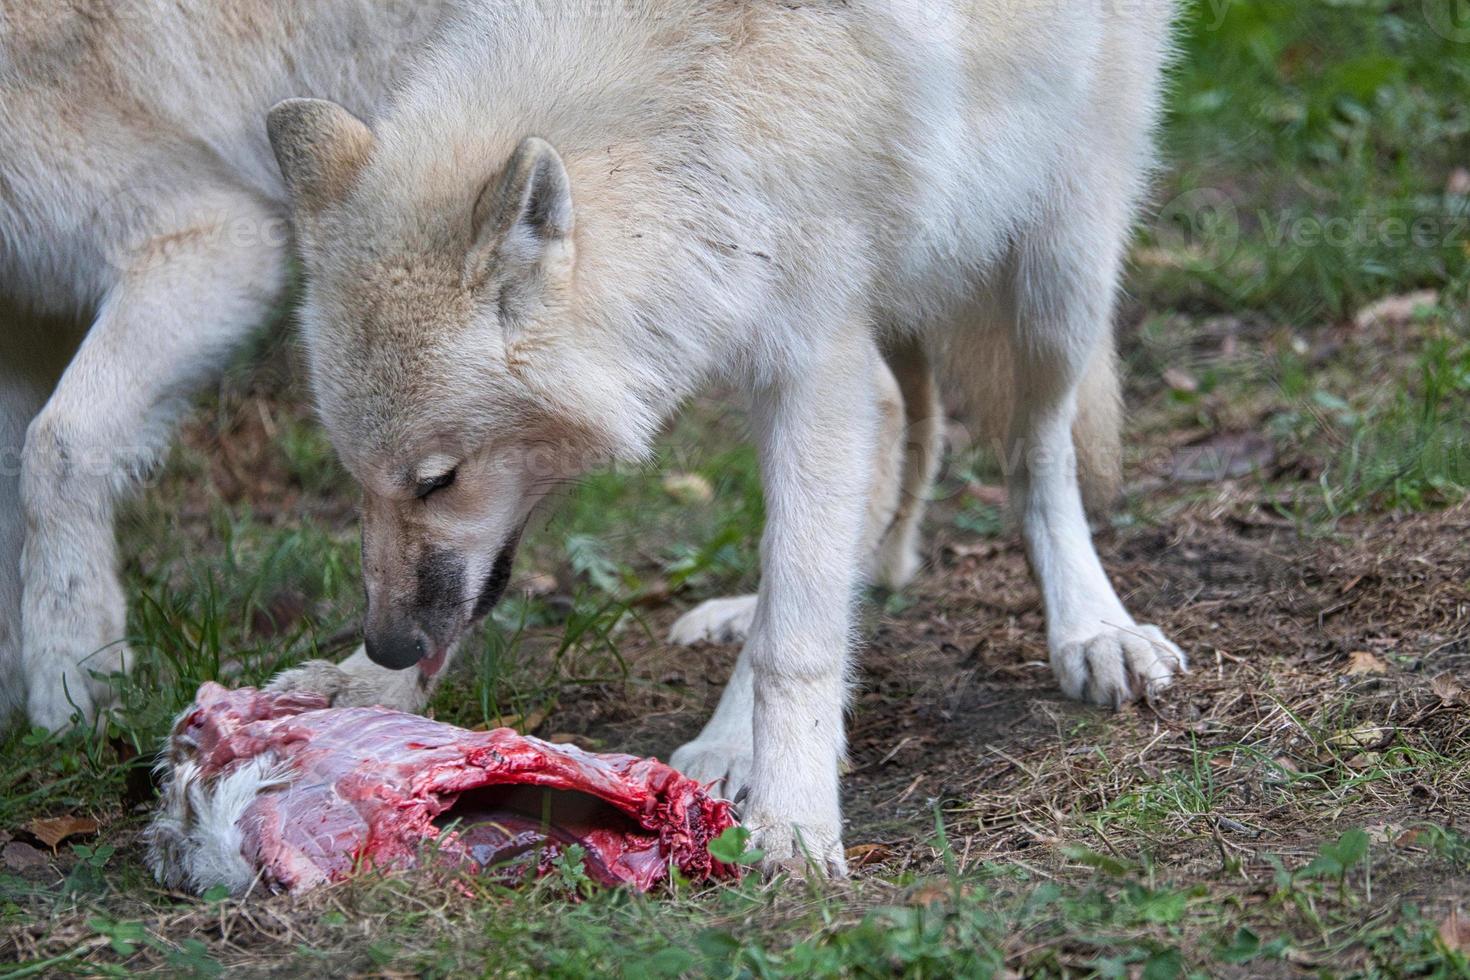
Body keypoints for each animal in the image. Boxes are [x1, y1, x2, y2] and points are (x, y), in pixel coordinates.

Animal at [270, 0, 1187, 875]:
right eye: (357, 480)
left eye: (438, 480)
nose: (387, 645)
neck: (690, 105)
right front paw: (362, 692)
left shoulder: (813, 359)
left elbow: (798, 643)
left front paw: (794, 827)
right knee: (890, 436)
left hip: (1056, 283)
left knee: (1037, 457)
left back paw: (1092, 631)